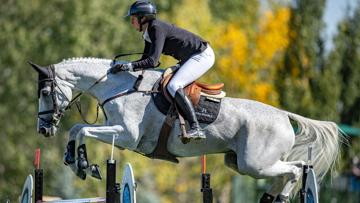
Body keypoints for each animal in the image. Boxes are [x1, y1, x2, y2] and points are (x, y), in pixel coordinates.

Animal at [30, 58, 344, 202]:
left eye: (45, 92)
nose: (43, 129)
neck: (118, 86)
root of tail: (283, 115)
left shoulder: (127, 135)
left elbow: (80, 129)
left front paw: (83, 165)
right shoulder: (116, 132)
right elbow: (77, 129)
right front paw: (78, 162)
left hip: (255, 163)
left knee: (296, 169)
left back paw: (281, 196)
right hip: (239, 163)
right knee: (291, 169)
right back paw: (271, 197)